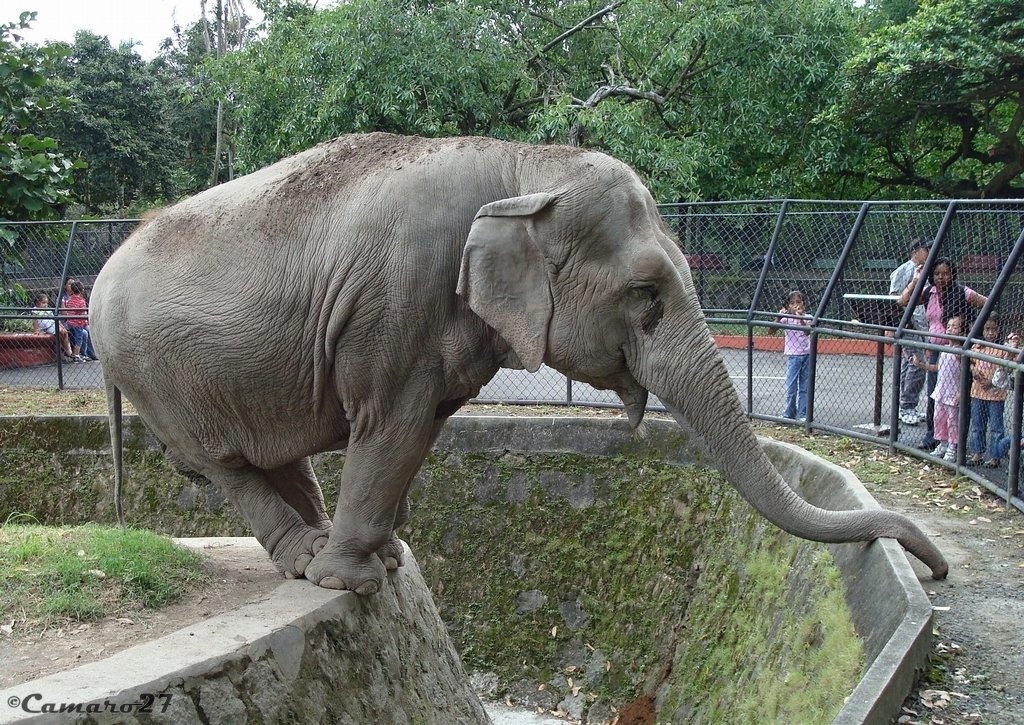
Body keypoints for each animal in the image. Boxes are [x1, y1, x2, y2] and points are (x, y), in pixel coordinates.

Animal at [90, 133, 948, 594]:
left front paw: (389, 558)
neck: (521, 169)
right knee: (224, 463)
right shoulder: (396, 306)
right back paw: (311, 562)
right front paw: (359, 583)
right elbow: (391, 426)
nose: (935, 571)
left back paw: (318, 546)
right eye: (645, 293)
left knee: (276, 457)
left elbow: (415, 434)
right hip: (160, 379)